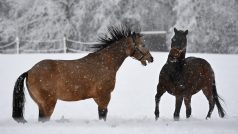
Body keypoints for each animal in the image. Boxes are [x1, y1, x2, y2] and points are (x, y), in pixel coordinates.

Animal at [12, 24, 153, 122]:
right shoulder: (104, 96)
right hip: (48, 103)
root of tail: (29, 71)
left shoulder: (97, 98)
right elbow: (103, 114)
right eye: (142, 45)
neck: (104, 63)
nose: (151, 58)